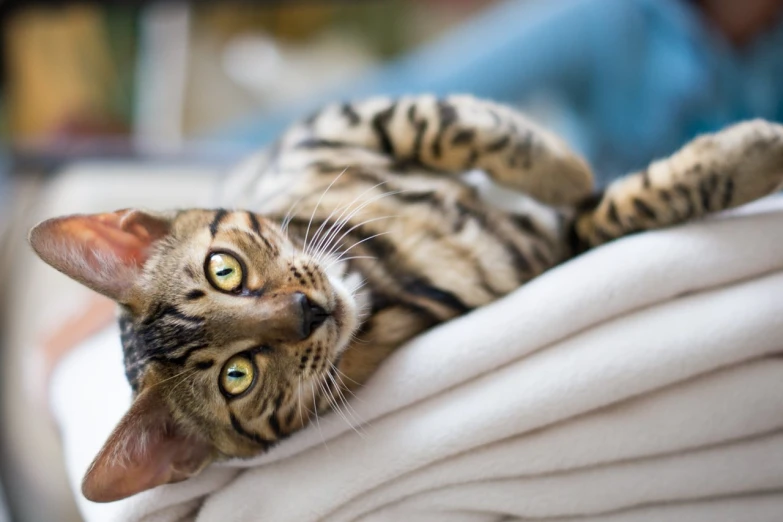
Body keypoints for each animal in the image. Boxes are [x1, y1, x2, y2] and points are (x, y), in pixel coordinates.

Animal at [26, 93, 783, 500]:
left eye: (224, 271)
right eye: (238, 376)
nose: (308, 312)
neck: (383, 278)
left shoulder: (343, 121)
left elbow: (460, 127)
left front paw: (566, 169)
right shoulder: (548, 252)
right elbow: (610, 216)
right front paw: (749, 161)